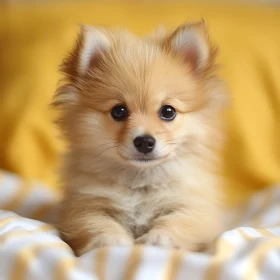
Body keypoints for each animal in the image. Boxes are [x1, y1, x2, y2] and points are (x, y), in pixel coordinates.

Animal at [52, 19, 228, 256]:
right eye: (118, 111)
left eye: (168, 111)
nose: (144, 141)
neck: (141, 182)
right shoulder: (83, 207)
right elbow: (97, 224)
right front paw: (113, 241)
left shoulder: (196, 208)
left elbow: (176, 222)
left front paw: (158, 239)